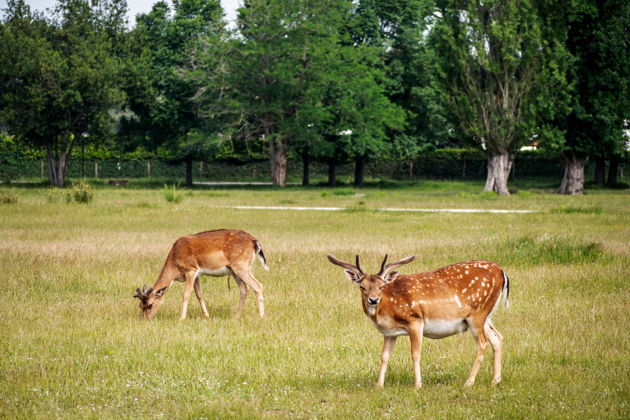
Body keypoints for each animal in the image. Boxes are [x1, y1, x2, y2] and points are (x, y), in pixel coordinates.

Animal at [136, 230, 270, 318]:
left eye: (150, 305)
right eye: (140, 305)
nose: (145, 319)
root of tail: (255, 241)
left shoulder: (190, 270)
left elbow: (186, 294)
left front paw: (181, 318)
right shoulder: (197, 275)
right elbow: (199, 294)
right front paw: (206, 316)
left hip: (242, 266)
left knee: (258, 286)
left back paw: (261, 316)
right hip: (235, 271)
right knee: (244, 290)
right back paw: (235, 316)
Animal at [328, 253, 512, 388]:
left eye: (381, 286)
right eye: (362, 287)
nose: (373, 300)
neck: (387, 310)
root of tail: (502, 273)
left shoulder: (415, 321)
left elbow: (415, 354)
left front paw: (418, 385)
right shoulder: (389, 332)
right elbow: (384, 356)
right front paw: (378, 385)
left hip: (477, 313)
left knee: (483, 343)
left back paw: (468, 383)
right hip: (486, 316)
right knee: (498, 338)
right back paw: (495, 380)